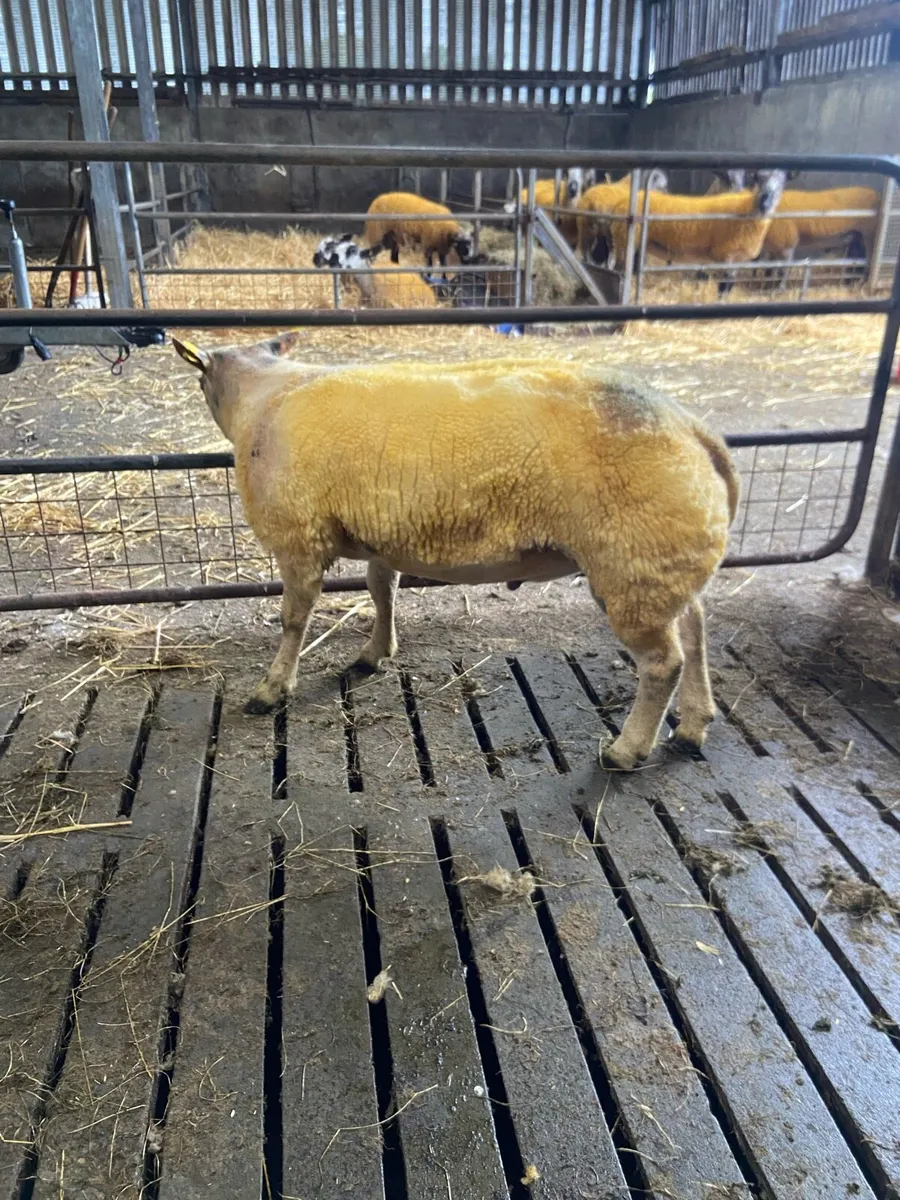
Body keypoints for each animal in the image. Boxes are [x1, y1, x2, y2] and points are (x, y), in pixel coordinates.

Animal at [172, 331, 740, 772]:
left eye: (199, 381)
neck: (263, 396)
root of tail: (694, 429)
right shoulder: (381, 533)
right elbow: (381, 591)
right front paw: (375, 653)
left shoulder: (298, 537)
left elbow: (294, 620)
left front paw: (271, 689)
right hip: (661, 559)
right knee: (695, 628)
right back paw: (693, 726)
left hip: (632, 560)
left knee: (663, 663)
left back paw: (626, 750)